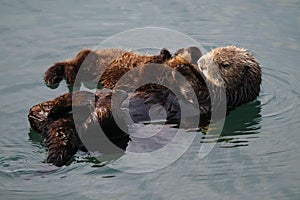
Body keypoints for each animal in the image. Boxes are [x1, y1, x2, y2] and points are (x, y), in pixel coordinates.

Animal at [29, 45, 262, 166]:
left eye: (224, 64)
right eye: (214, 52)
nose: (203, 61)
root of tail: (58, 130)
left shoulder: (208, 103)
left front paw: (185, 66)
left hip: (109, 128)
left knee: (97, 121)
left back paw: (87, 104)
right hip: (47, 115)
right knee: (37, 112)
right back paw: (63, 101)